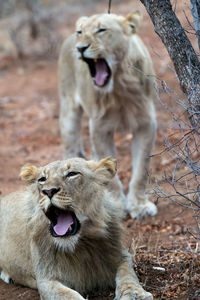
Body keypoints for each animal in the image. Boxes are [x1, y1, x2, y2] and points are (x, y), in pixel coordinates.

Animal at [0, 158, 153, 298]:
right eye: (42, 179)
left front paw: (135, 293)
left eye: (72, 173)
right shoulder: (46, 279)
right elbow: (69, 295)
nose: (48, 191)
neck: (81, 245)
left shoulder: (120, 255)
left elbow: (128, 275)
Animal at [58, 10, 159, 219]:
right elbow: (108, 173)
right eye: (80, 32)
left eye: (101, 30)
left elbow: (141, 170)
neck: (119, 87)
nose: (80, 48)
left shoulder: (146, 124)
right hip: (68, 113)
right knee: (69, 149)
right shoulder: (100, 128)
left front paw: (139, 206)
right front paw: (117, 205)